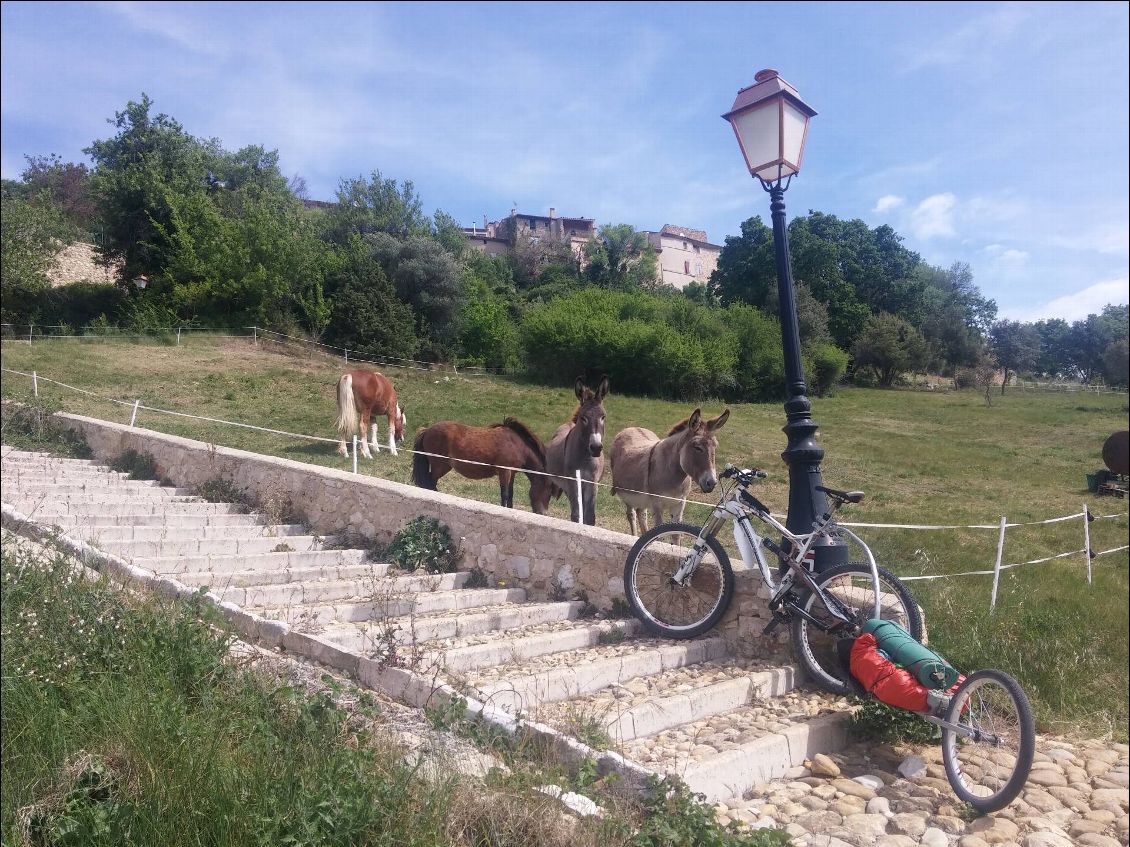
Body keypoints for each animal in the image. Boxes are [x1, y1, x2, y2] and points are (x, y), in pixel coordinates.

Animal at [415, 415, 555, 514]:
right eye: (549, 492)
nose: (543, 513)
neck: (517, 445)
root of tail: (427, 430)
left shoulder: (512, 473)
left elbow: (510, 495)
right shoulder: (504, 472)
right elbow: (504, 494)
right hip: (439, 466)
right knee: (431, 483)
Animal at [546, 377, 610, 524]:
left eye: (603, 417)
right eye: (583, 418)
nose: (596, 448)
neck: (585, 457)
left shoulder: (592, 482)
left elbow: (590, 517)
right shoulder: (573, 481)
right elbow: (576, 514)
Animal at [614, 406, 727, 537]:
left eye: (715, 446)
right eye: (697, 447)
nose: (712, 483)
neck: (675, 474)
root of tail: (630, 428)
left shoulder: (679, 504)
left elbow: (676, 534)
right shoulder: (657, 505)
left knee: (641, 513)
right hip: (628, 495)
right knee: (631, 514)